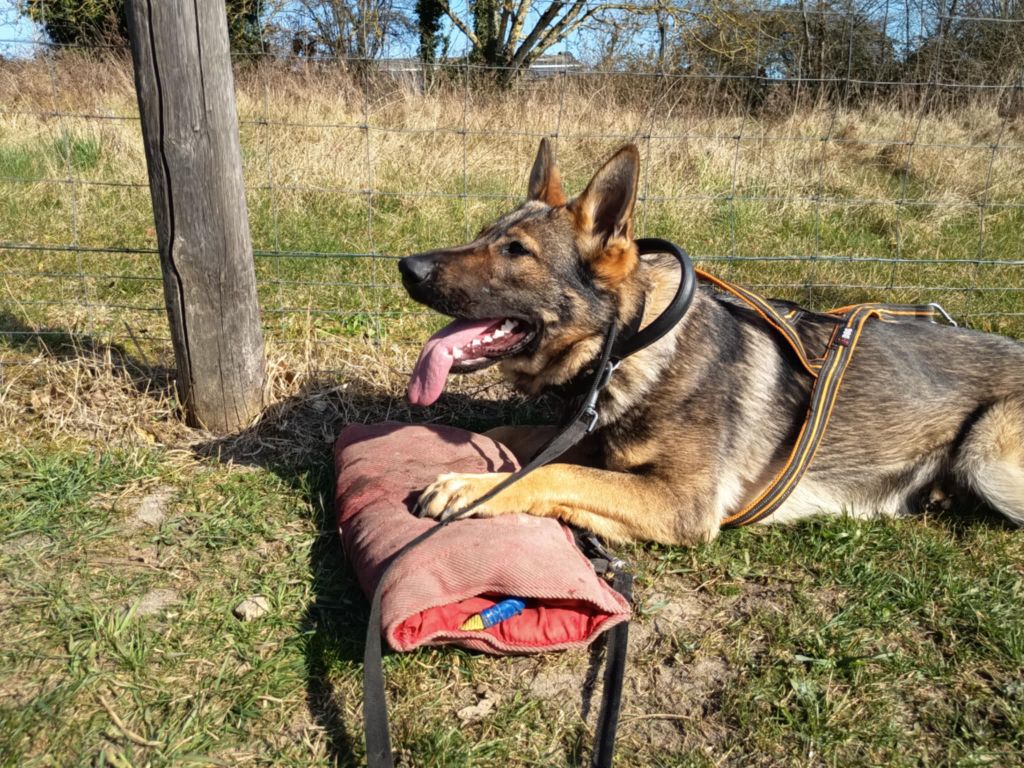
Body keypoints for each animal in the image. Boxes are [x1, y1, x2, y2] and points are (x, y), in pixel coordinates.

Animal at [398, 139, 1024, 546]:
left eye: (516, 251)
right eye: (482, 235)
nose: (407, 267)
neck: (632, 344)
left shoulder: (682, 502)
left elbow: (556, 473)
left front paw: (472, 486)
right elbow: (510, 433)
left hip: (988, 451)